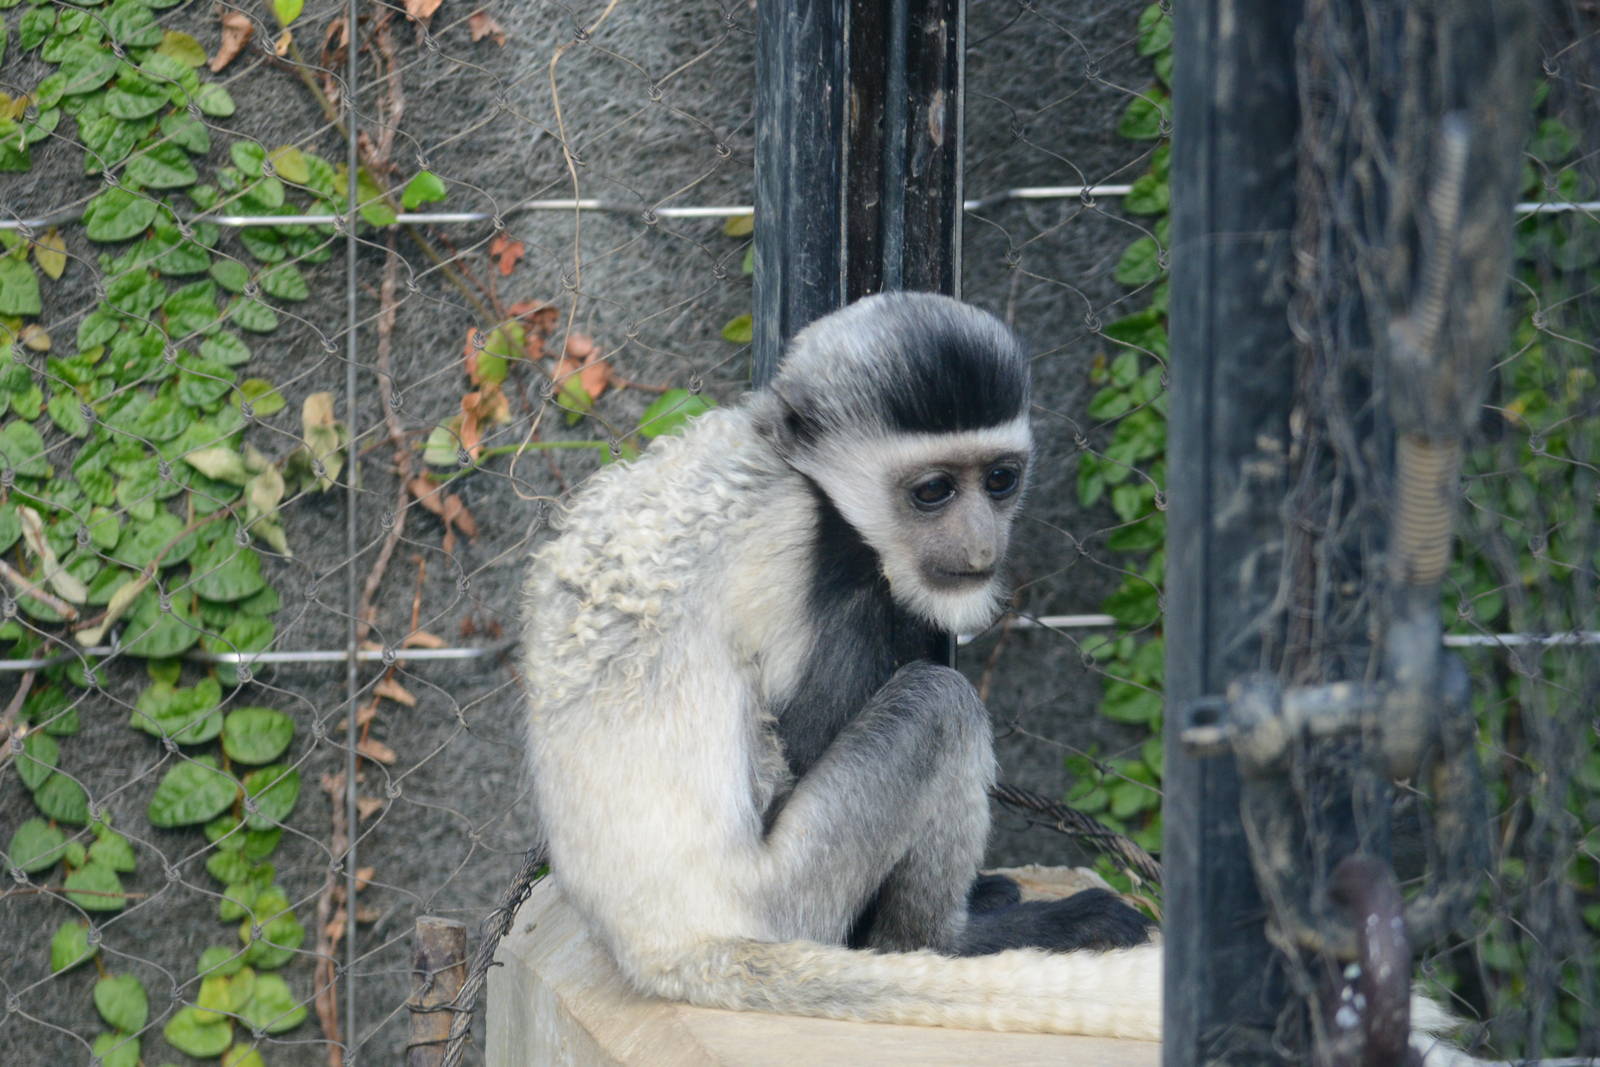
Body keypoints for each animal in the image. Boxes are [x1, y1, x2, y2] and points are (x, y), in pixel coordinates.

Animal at [520, 292, 1477, 1046]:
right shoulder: (819, 550)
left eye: (1002, 479)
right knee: (936, 702)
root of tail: (667, 941)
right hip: (783, 896)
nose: (982, 546)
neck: (790, 466)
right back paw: (941, 939)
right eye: (934, 491)